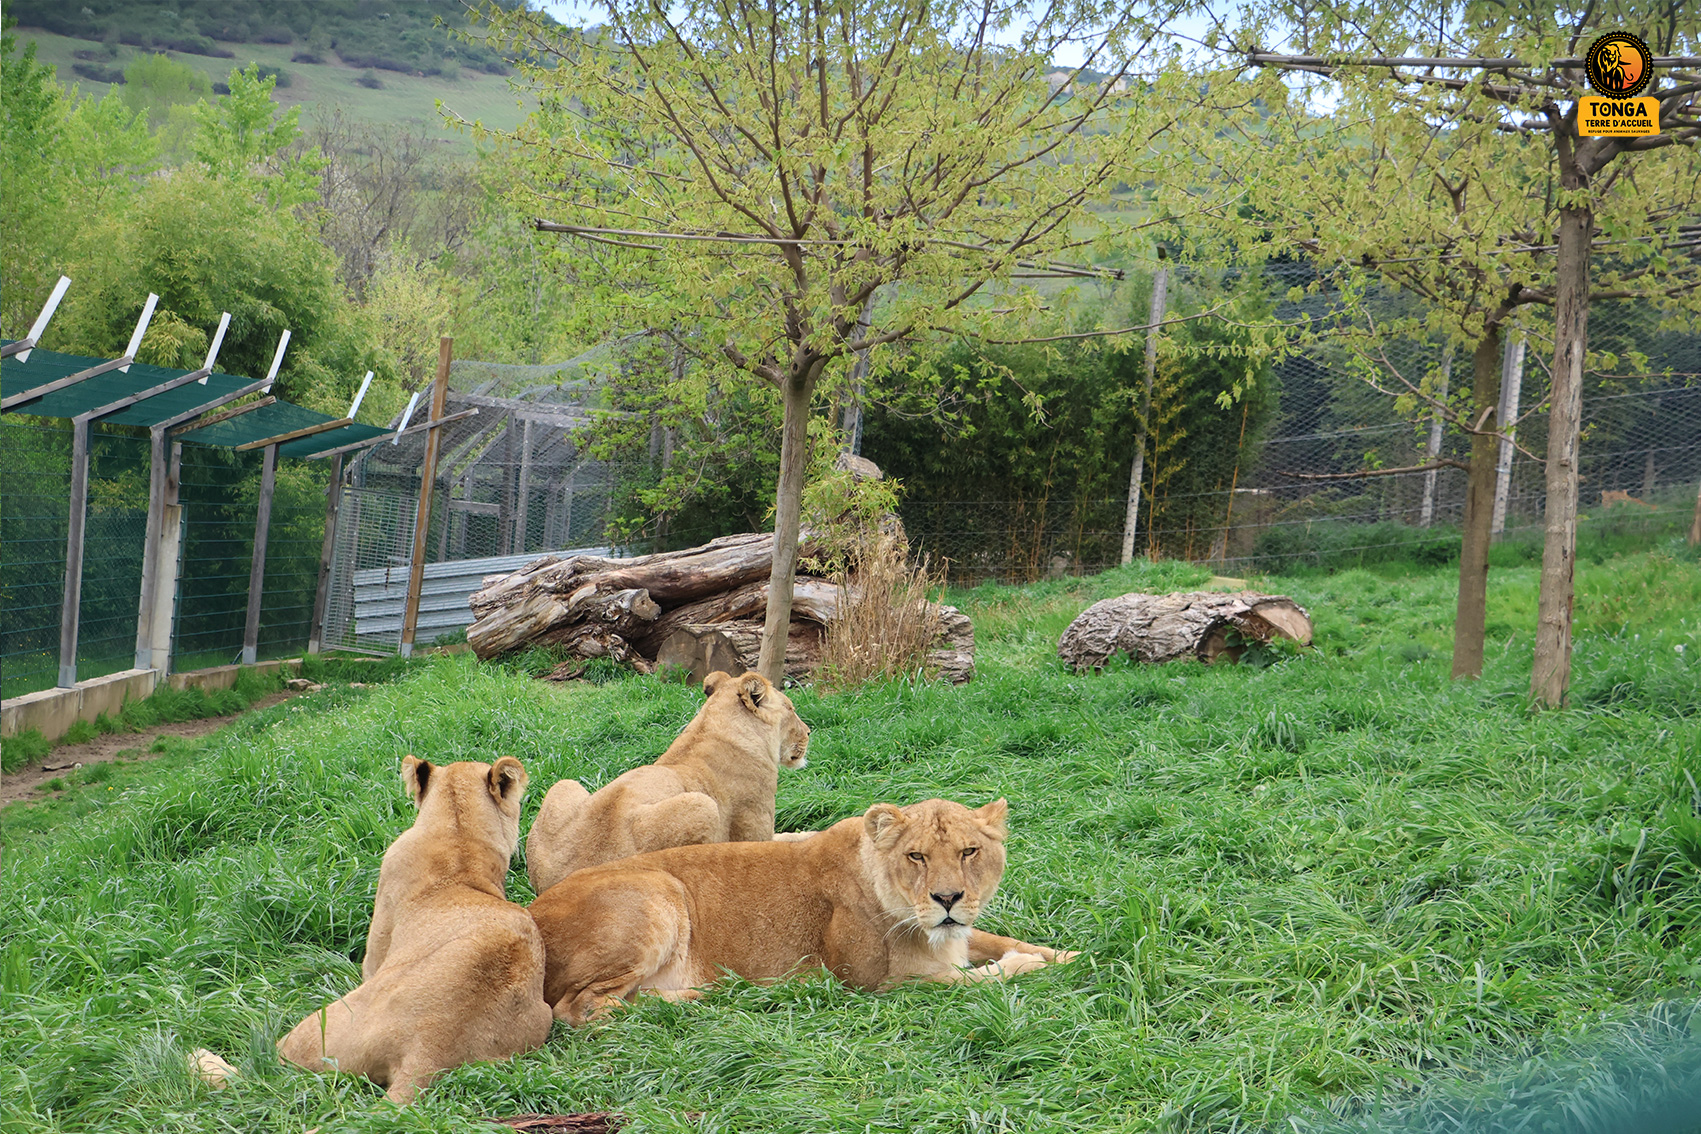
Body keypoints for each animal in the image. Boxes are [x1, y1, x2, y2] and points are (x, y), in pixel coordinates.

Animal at [525, 670, 810, 893]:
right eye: (792, 709)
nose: (809, 731)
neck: (714, 727)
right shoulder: (754, 831)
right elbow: (788, 842)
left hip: (564, 784)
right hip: (703, 806)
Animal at [528, 797, 1077, 1024]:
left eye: (969, 852)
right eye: (916, 856)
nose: (948, 899)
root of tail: (531, 912)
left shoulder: (956, 934)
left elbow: (1000, 940)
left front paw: (1069, 954)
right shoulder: (878, 983)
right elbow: (979, 978)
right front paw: (1029, 965)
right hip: (659, 890)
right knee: (581, 1008)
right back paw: (715, 998)